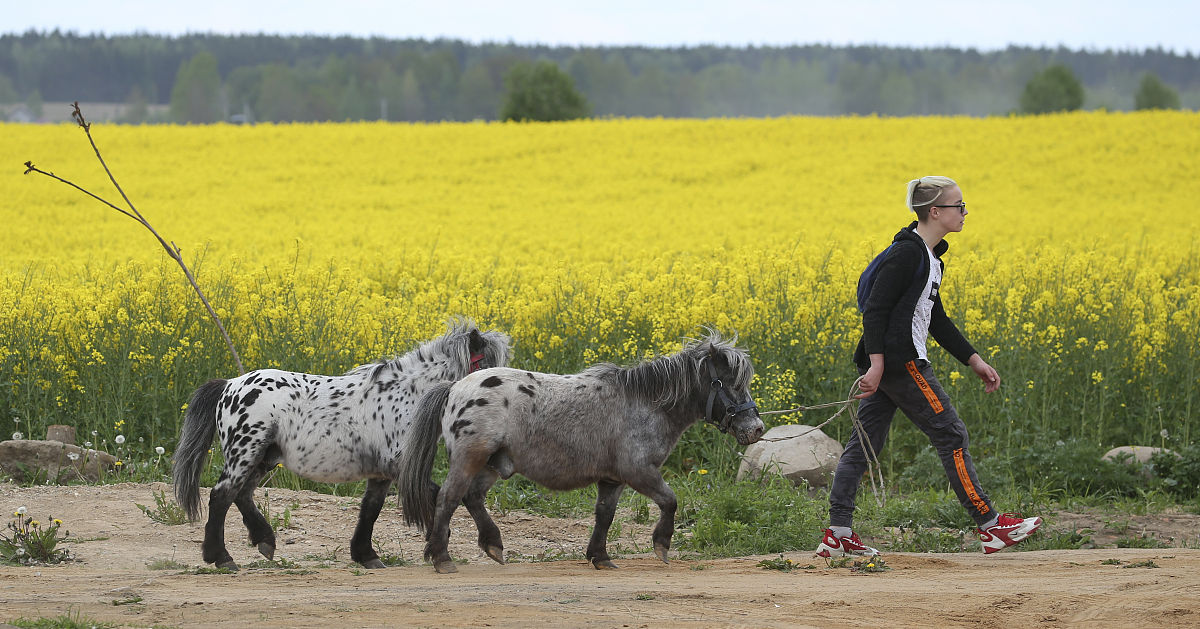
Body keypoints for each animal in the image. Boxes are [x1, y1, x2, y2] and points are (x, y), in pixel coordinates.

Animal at [172, 318, 512, 570]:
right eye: (487, 367)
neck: (407, 394)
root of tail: (230, 384)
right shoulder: (397, 466)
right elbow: (443, 494)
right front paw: (472, 545)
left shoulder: (380, 472)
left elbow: (370, 509)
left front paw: (366, 555)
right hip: (245, 452)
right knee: (221, 495)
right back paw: (221, 558)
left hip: (263, 457)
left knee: (241, 495)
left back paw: (264, 541)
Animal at [396, 331, 765, 574]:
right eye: (729, 383)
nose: (757, 428)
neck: (645, 403)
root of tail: (455, 387)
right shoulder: (640, 472)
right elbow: (670, 501)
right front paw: (661, 544)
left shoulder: (613, 480)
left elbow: (604, 516)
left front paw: (599, 556)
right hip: (469, 459)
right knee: (448, 499)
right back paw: (442, 558)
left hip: (491, 464)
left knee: (472, 498)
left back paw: (493, 545)